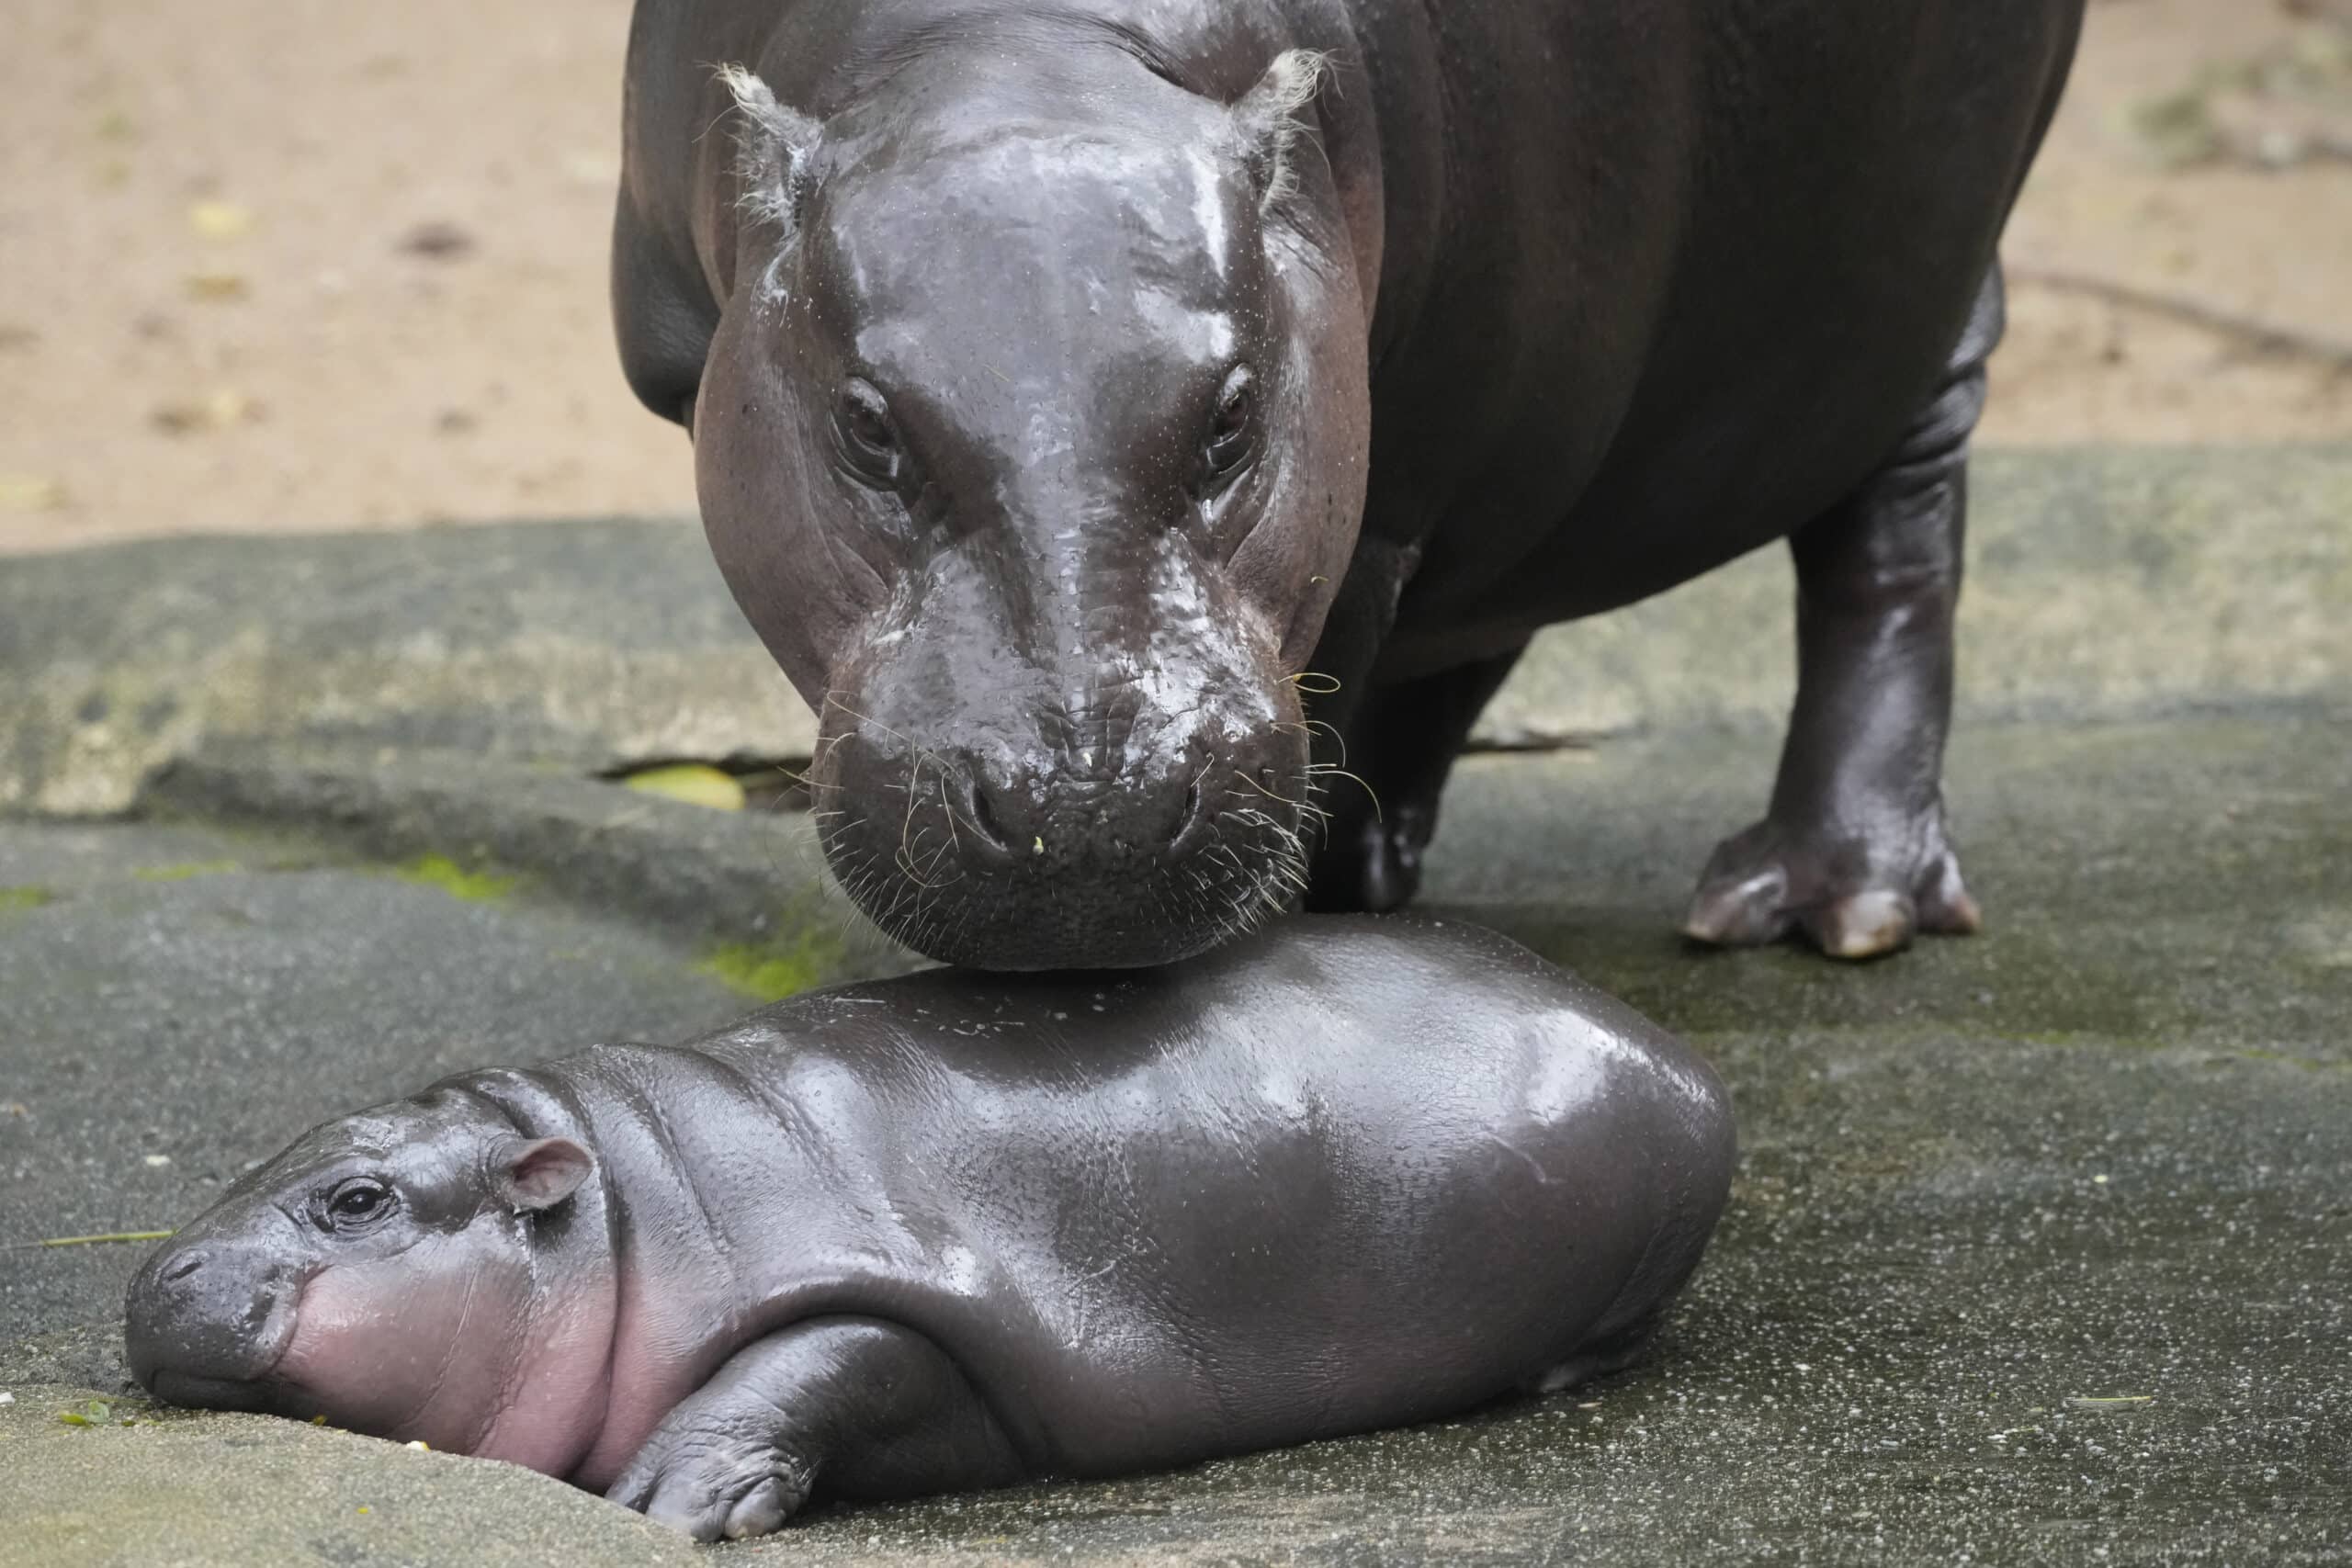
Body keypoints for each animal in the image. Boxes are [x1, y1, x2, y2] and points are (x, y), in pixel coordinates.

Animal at [133, 911, 1749, 1541]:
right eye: (276, 1152)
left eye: (358, 1199)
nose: (162, 1274)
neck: (621, 1204)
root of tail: (1671, 1046)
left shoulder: (914, 1294)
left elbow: (818, 1359)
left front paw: (665, 1497)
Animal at [616, 0, 2088, 973]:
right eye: (866, 428)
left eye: (1230, 418)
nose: (1088, 805)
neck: (1019, 56)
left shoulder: (1384, 493)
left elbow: (1336, 681)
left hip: (1911, 295)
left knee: (1892, 542)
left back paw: (1827, 903)